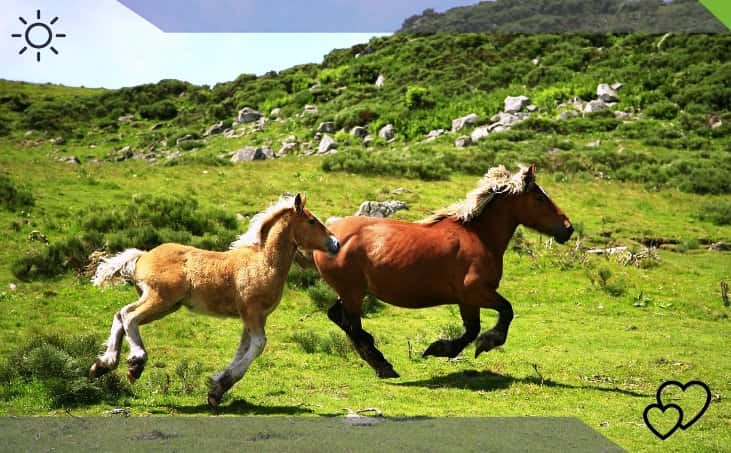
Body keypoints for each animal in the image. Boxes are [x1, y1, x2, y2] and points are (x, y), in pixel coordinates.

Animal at [89, 194, 340, 407]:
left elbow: (243, 348)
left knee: (120, 315)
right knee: (128, 316)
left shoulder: (252, 317)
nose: (335, 244)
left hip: (165, 305)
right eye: (311, 221)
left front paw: (216, 387)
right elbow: (259, 345)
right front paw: (219, 386)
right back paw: (135, 363)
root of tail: (143, 256)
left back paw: (103, 365)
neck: (264, 262)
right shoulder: (252, 312)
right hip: (160, 298)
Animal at [313, 165, 573, 378]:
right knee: (352, 325)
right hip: (352, 292)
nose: (568, 228)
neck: (479, 236)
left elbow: (472, 329)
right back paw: (383, 366)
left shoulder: (467, 300)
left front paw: (441, 349)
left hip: (351, 291)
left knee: (339, 318)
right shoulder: (475, 292)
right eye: (539, 197)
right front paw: (485, 343)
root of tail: (331, 234)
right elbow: (505, 312)